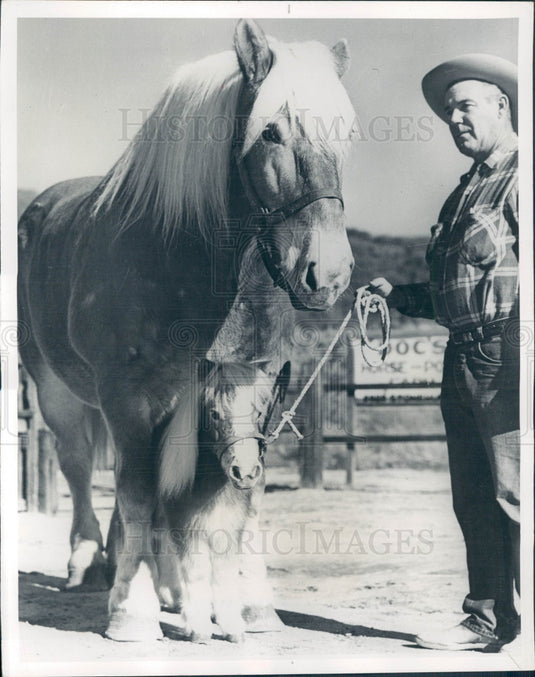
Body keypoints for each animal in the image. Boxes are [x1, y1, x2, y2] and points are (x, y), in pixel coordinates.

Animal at [18, 19, 356, 641]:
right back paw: (90, 565)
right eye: (270, 132)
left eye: (345, 133)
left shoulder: (254, 386)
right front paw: (131, 613)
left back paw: (164, 585)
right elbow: (137, 493)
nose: (328, 274)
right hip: (58, 393)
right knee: (79, 466)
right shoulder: (129, 396)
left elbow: (244, 498)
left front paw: (253, 607)